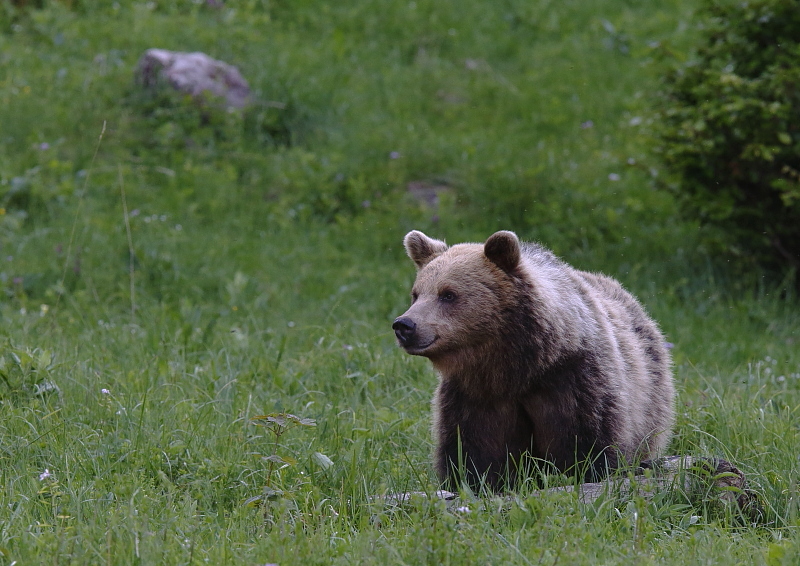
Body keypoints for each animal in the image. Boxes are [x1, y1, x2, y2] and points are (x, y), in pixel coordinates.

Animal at [394, 231, 676, 492]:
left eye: (448, 294)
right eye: (416, 294)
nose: (404, 325)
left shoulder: (573, 378)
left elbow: (585, 439)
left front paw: (586, 473)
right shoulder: (474, 394)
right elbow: (473, 448)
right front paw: (472, 482)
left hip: (650, 393)